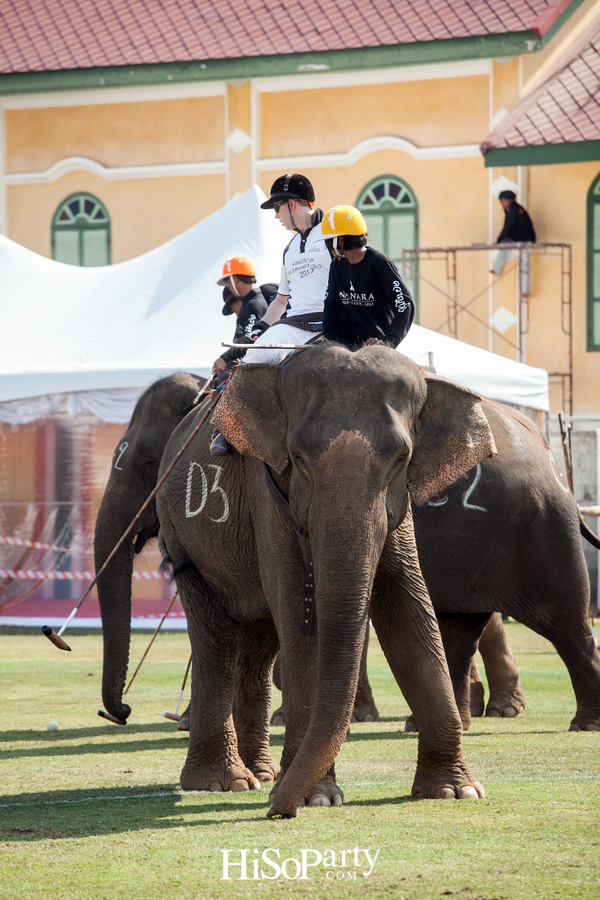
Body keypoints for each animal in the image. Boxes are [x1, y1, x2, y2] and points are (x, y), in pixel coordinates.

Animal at [156, 344, 499, 817]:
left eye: (401, 460)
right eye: (298, 459)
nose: (278, 810)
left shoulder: (399, 511)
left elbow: (408, 611)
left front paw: (454, 790)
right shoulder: (267, 492)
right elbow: (302, 618)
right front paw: (317, 796)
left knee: (258, 641)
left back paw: (262, 774)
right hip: (182, 539)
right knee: (216, 637)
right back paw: (222, 783)